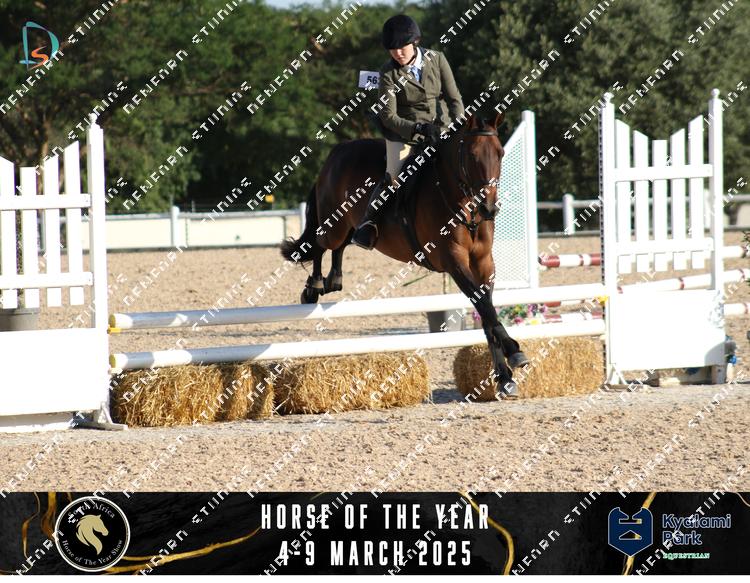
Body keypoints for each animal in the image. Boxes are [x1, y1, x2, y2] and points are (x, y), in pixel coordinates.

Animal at [280, 112, 528, 396]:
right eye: (472, 155)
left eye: (500, 153)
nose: (490, 208)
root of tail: (338, 151)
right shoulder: (453, 261)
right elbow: (484, 306)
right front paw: (514, 353)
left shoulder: (484, 263)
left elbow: (486, 310)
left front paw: (504, 376)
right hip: (335, 223)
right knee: (322, 243)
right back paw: (314, 287)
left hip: (348, 224)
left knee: (341, 245)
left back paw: (334, 279)